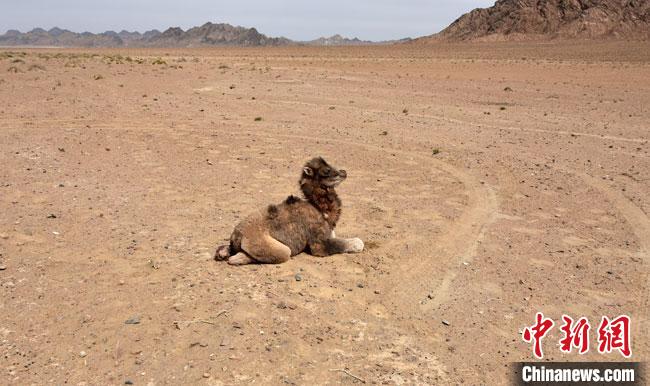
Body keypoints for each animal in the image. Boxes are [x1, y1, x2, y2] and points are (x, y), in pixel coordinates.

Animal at [215, 157, 362, 266]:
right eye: (326, 170)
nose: (343, 172)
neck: (320, 209)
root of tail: (236, 235)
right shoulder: (318, 243)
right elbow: (356, 243)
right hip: (274, 248)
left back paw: (223, 253)